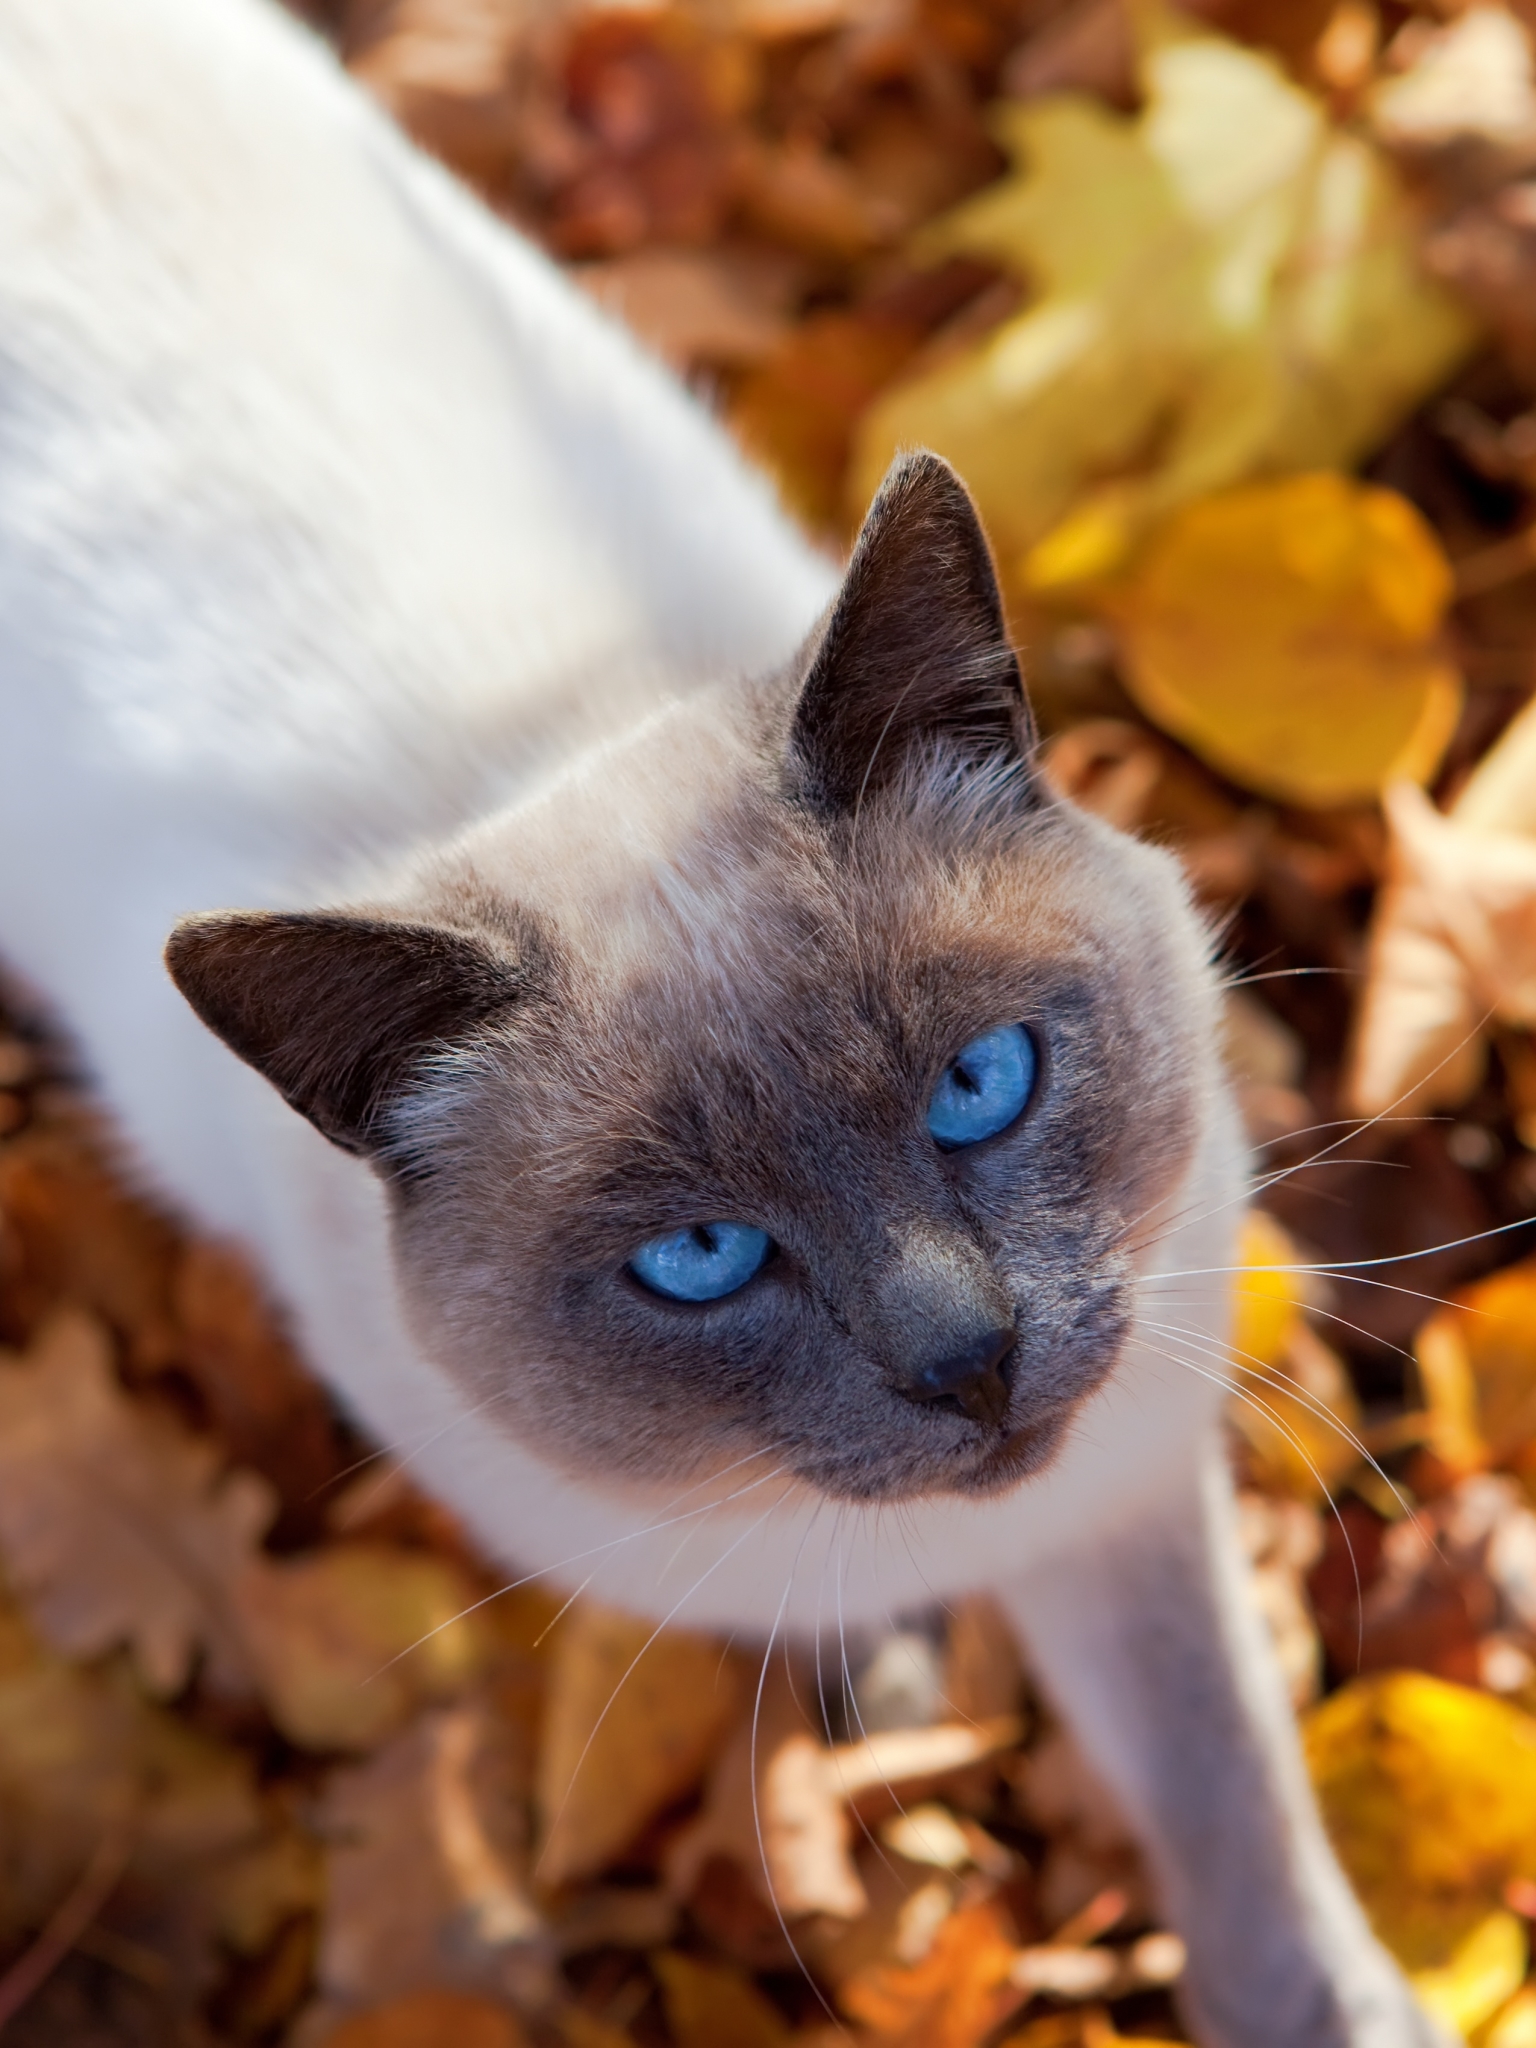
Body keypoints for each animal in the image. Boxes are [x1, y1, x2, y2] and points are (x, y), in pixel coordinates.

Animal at [0, 0, 1449, 2039]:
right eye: (698, 1259)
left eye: (980, 1086)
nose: (969, 1366)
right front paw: (894, 1671)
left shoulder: (1121, 1483)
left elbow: (1229, 1795)